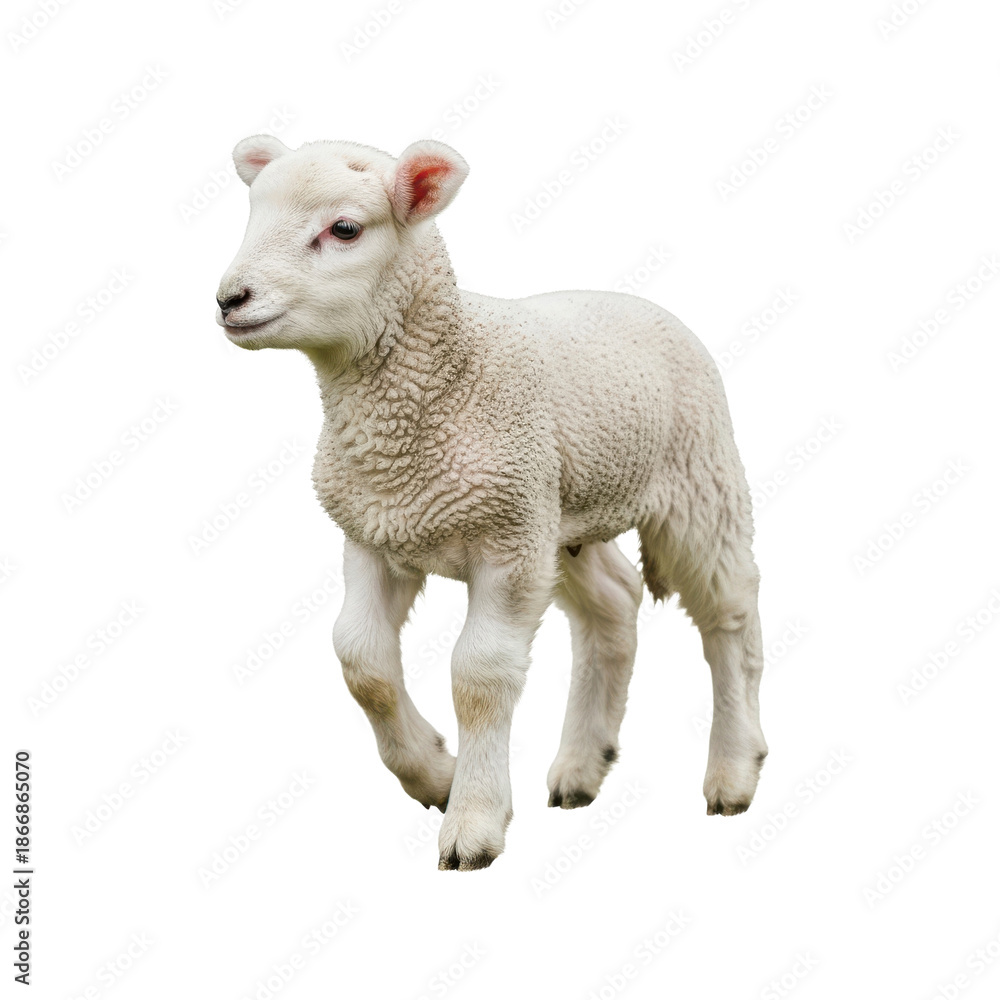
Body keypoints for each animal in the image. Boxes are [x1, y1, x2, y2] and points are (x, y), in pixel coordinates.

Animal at [215, 135, 768, 871]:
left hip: (696, 483)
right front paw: (433, 775)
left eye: (345, 229)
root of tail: (632, 300)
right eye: (252, 213)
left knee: (729, 616)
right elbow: (361, 660)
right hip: (561, 517)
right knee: (614, 605)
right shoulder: (375, 532)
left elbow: (477, 674)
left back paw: (734, 770)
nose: (230, 298)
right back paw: (582, 766)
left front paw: (473, 821)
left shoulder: (506, 542)